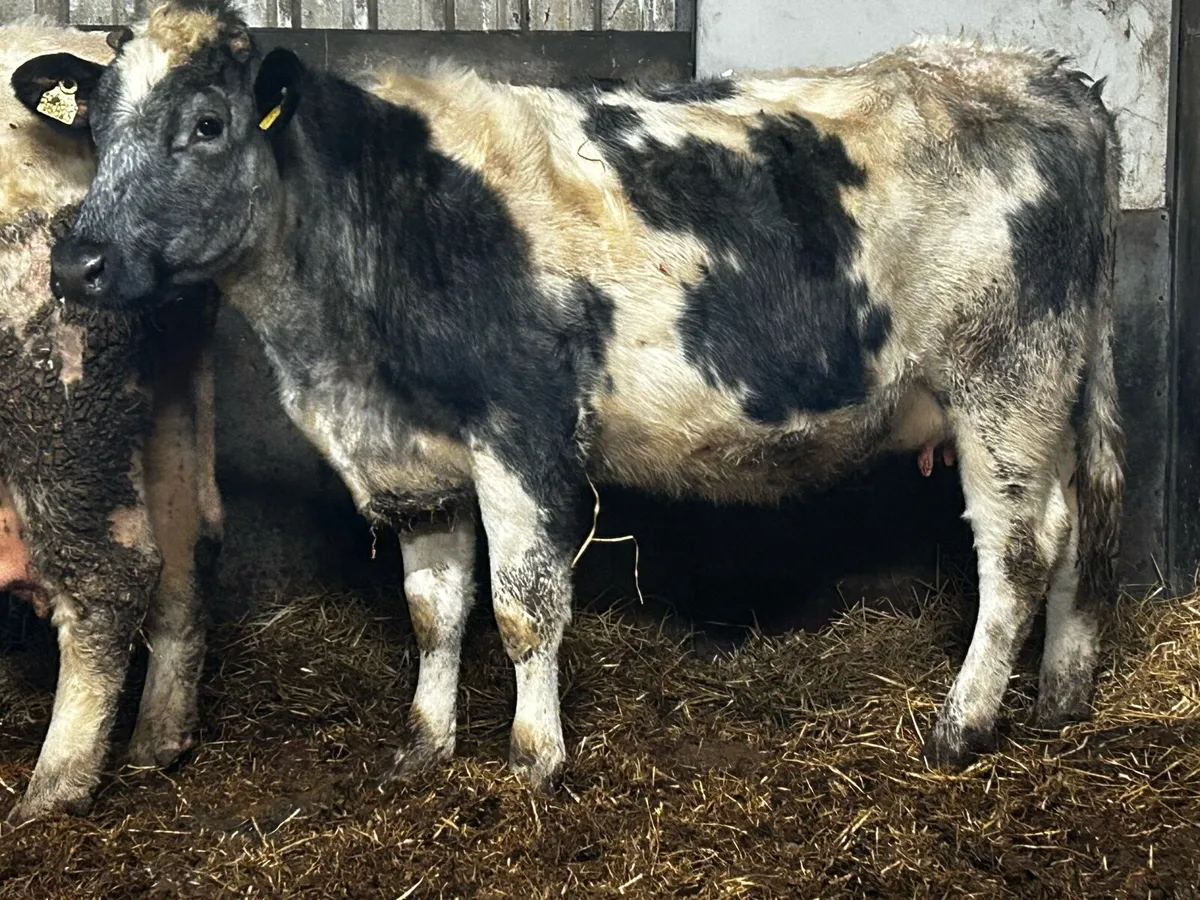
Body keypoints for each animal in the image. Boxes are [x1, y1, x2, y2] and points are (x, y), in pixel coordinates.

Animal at [1, 20, 224, 822]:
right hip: (171, 387)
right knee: (188, 548)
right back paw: (159, 741)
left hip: (55, 384)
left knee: (109, 576)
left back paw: (53, 792)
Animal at [18, 0, 1124, 794]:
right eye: (98, 128)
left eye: (206, 125)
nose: (78, 262)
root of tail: (1044, 77)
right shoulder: (418, 457)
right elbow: (434, 611)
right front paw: (423, 750)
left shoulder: (523, 435)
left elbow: (522, 609)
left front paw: (534, 758)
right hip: (1059, 385)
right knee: (1081, 519)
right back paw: (1063, 696)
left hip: (1006, 377)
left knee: (1020, 549)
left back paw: (962, 724)